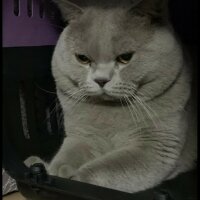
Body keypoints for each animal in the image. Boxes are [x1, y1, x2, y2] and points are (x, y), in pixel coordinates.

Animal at [25, 0, 197, 194]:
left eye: (125, 57)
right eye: (82, 58)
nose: (101, 80)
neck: (108, 113)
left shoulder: (155, 146)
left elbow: (106, 167)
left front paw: (75, 177)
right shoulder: (82, 135)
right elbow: (68, 155)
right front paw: (56, 170)